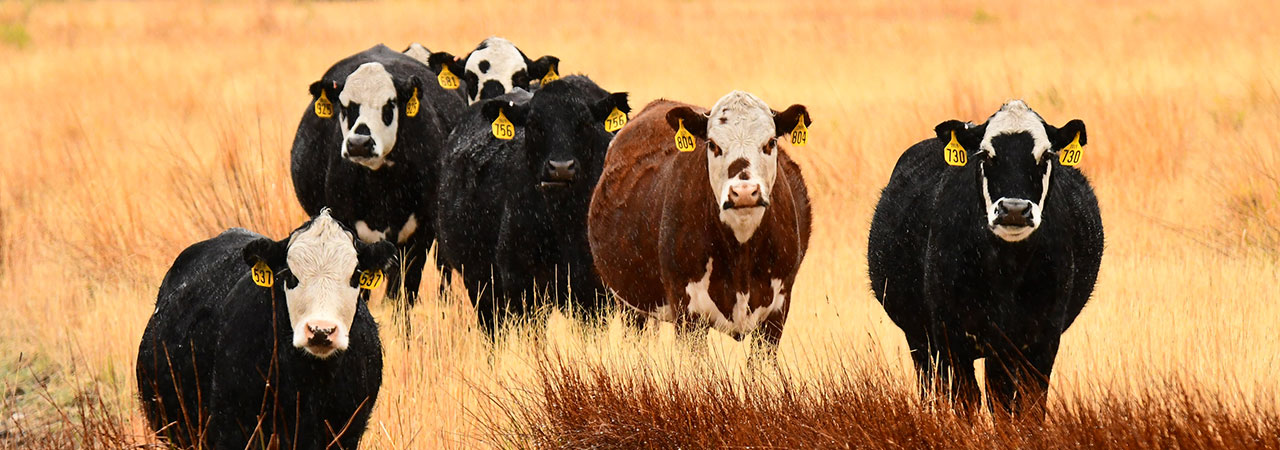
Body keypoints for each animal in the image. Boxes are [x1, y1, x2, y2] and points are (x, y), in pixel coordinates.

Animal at [136, 209, 397, 449]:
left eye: (355, 274)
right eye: (289, 274)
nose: (320, 330)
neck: (309, 384)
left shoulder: (345, 433)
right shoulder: (231, 431)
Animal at [290, 44, 465, 306]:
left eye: (389, 105)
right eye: (345, 107)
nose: (359, 143)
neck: (382, 189)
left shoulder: (421, 235)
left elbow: (405, 293)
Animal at [435, 75, 629, 338]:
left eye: (585, 124)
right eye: (534, 125)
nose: (560, 167)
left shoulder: (595, 291)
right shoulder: (521, 285)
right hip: (480, 287)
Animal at [588, 91, 813, 355]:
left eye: (770, 142)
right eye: (713, 144)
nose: (744, 192)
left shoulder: (776, 313)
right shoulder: (688, 314)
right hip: (630, 305)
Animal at [867, 100, 1103, 418]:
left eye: (1045, 156)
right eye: (985, 155)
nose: (1014, 210)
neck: (1007, 271)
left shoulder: (1043, 337)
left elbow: (1027, 404)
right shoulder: (951, 335)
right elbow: (966, 400)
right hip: (920, 338)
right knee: (933, 387)